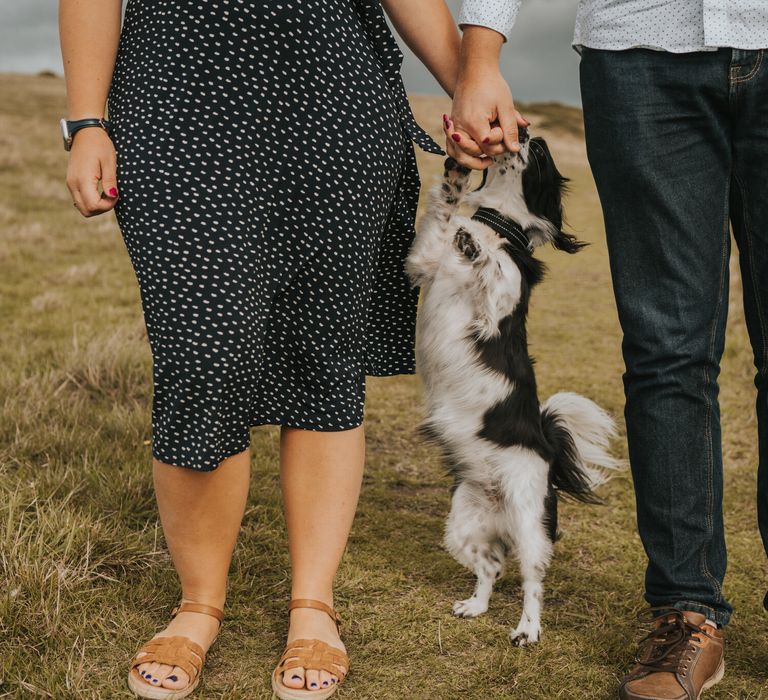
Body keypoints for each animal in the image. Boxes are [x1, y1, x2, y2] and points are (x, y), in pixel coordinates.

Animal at [404, 127, 620, 644]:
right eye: (533, 139)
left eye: (538, 151)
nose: (523, 130)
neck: (496, 220)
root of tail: (549, 450)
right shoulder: (423, 262)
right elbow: (444, 212)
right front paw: (456, 178)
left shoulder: (499, 304)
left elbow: (499, 266)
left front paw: (478, 247)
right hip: (462, 526)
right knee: (492, 568)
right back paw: (476, 606)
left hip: (530, 524)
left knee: (531, 581)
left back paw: (527, 630)